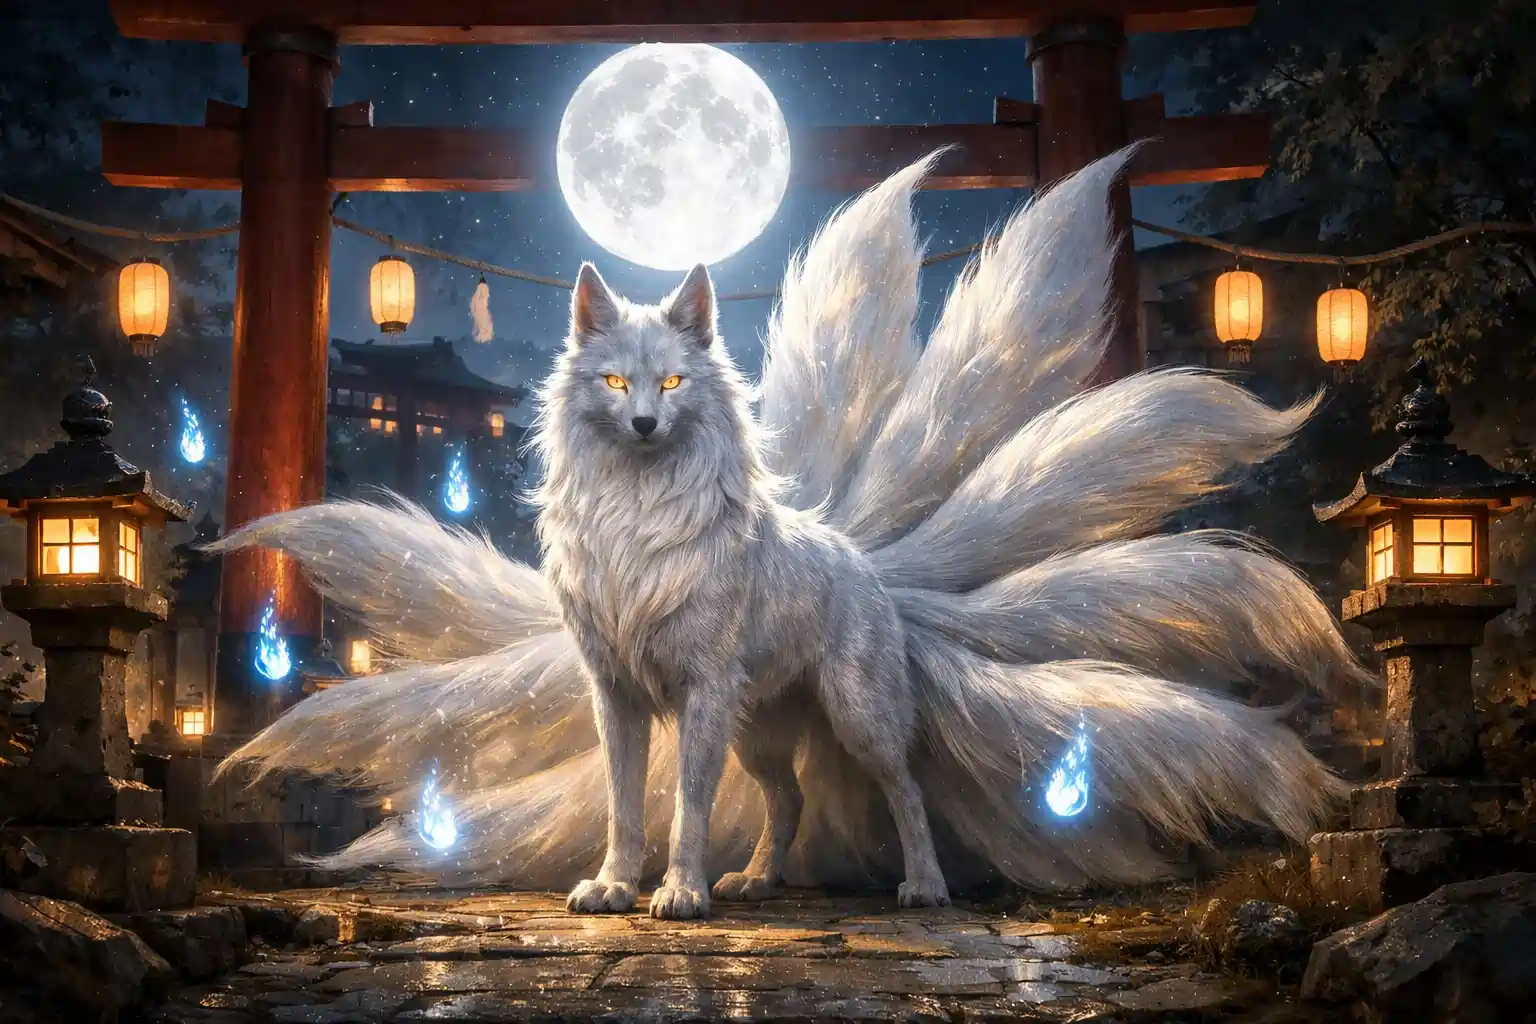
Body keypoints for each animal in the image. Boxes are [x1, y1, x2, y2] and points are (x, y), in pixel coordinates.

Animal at [210, 147, 1367, 919]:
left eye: (674, 385)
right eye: (616, 385)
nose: (644, 424)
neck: (640, 518)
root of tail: (865, 562)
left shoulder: (696, 694)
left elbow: (682, 805)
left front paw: (676, 894)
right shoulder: (620, 698)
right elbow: (630, 803)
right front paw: (614, 887)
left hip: (851, 715)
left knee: (902, 790)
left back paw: (921, 886)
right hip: (763, 727)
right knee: (791, 798)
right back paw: (761, 879)